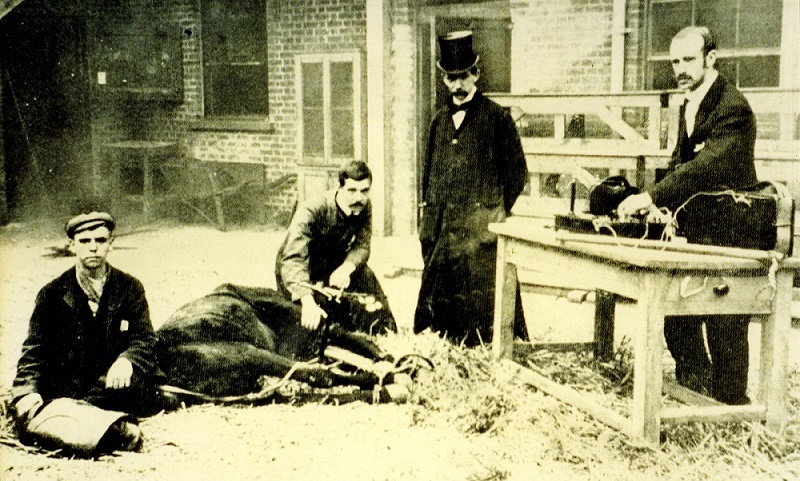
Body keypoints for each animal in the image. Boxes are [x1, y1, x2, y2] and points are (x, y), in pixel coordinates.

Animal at [153, 282, 422, 402]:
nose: (391, 323)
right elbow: (357, 343)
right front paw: (398, 369)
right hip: (250, 353)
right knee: (321, 374)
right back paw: (387, 382)